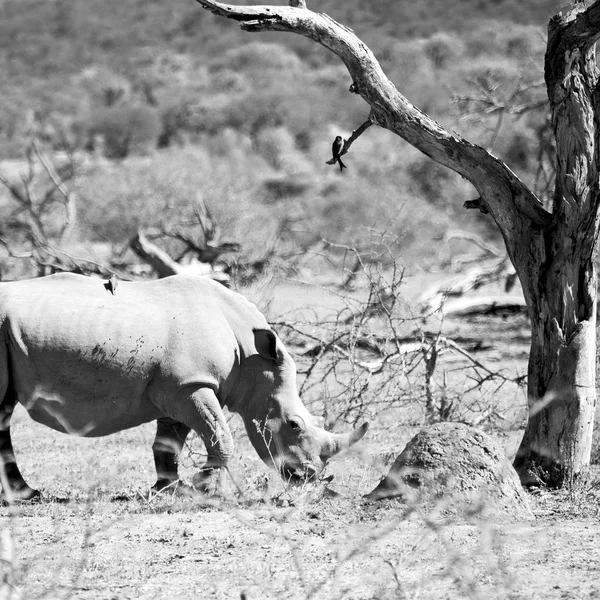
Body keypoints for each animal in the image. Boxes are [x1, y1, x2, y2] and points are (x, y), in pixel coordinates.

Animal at [0, 274, 366, 500]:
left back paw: (25, 495)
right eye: (294, 424)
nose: (309, 477)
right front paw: (205, 489)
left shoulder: (178, 387)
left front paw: (171, 490)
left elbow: (168, 444)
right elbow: (220, 436)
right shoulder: (191, 384)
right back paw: (26, 496)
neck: (251, 356)